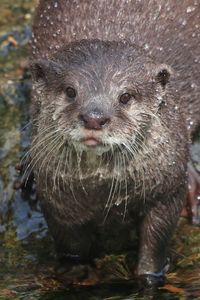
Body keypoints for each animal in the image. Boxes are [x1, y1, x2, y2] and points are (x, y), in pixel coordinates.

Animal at [28, 0, 200, 286]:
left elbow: (156, 240)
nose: (94, 117)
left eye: (125, 96)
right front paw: (75, 272)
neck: (101, 192)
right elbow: (70, 244)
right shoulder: (57, 199)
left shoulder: (165, 193)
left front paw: (149, 278)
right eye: (70, 91)